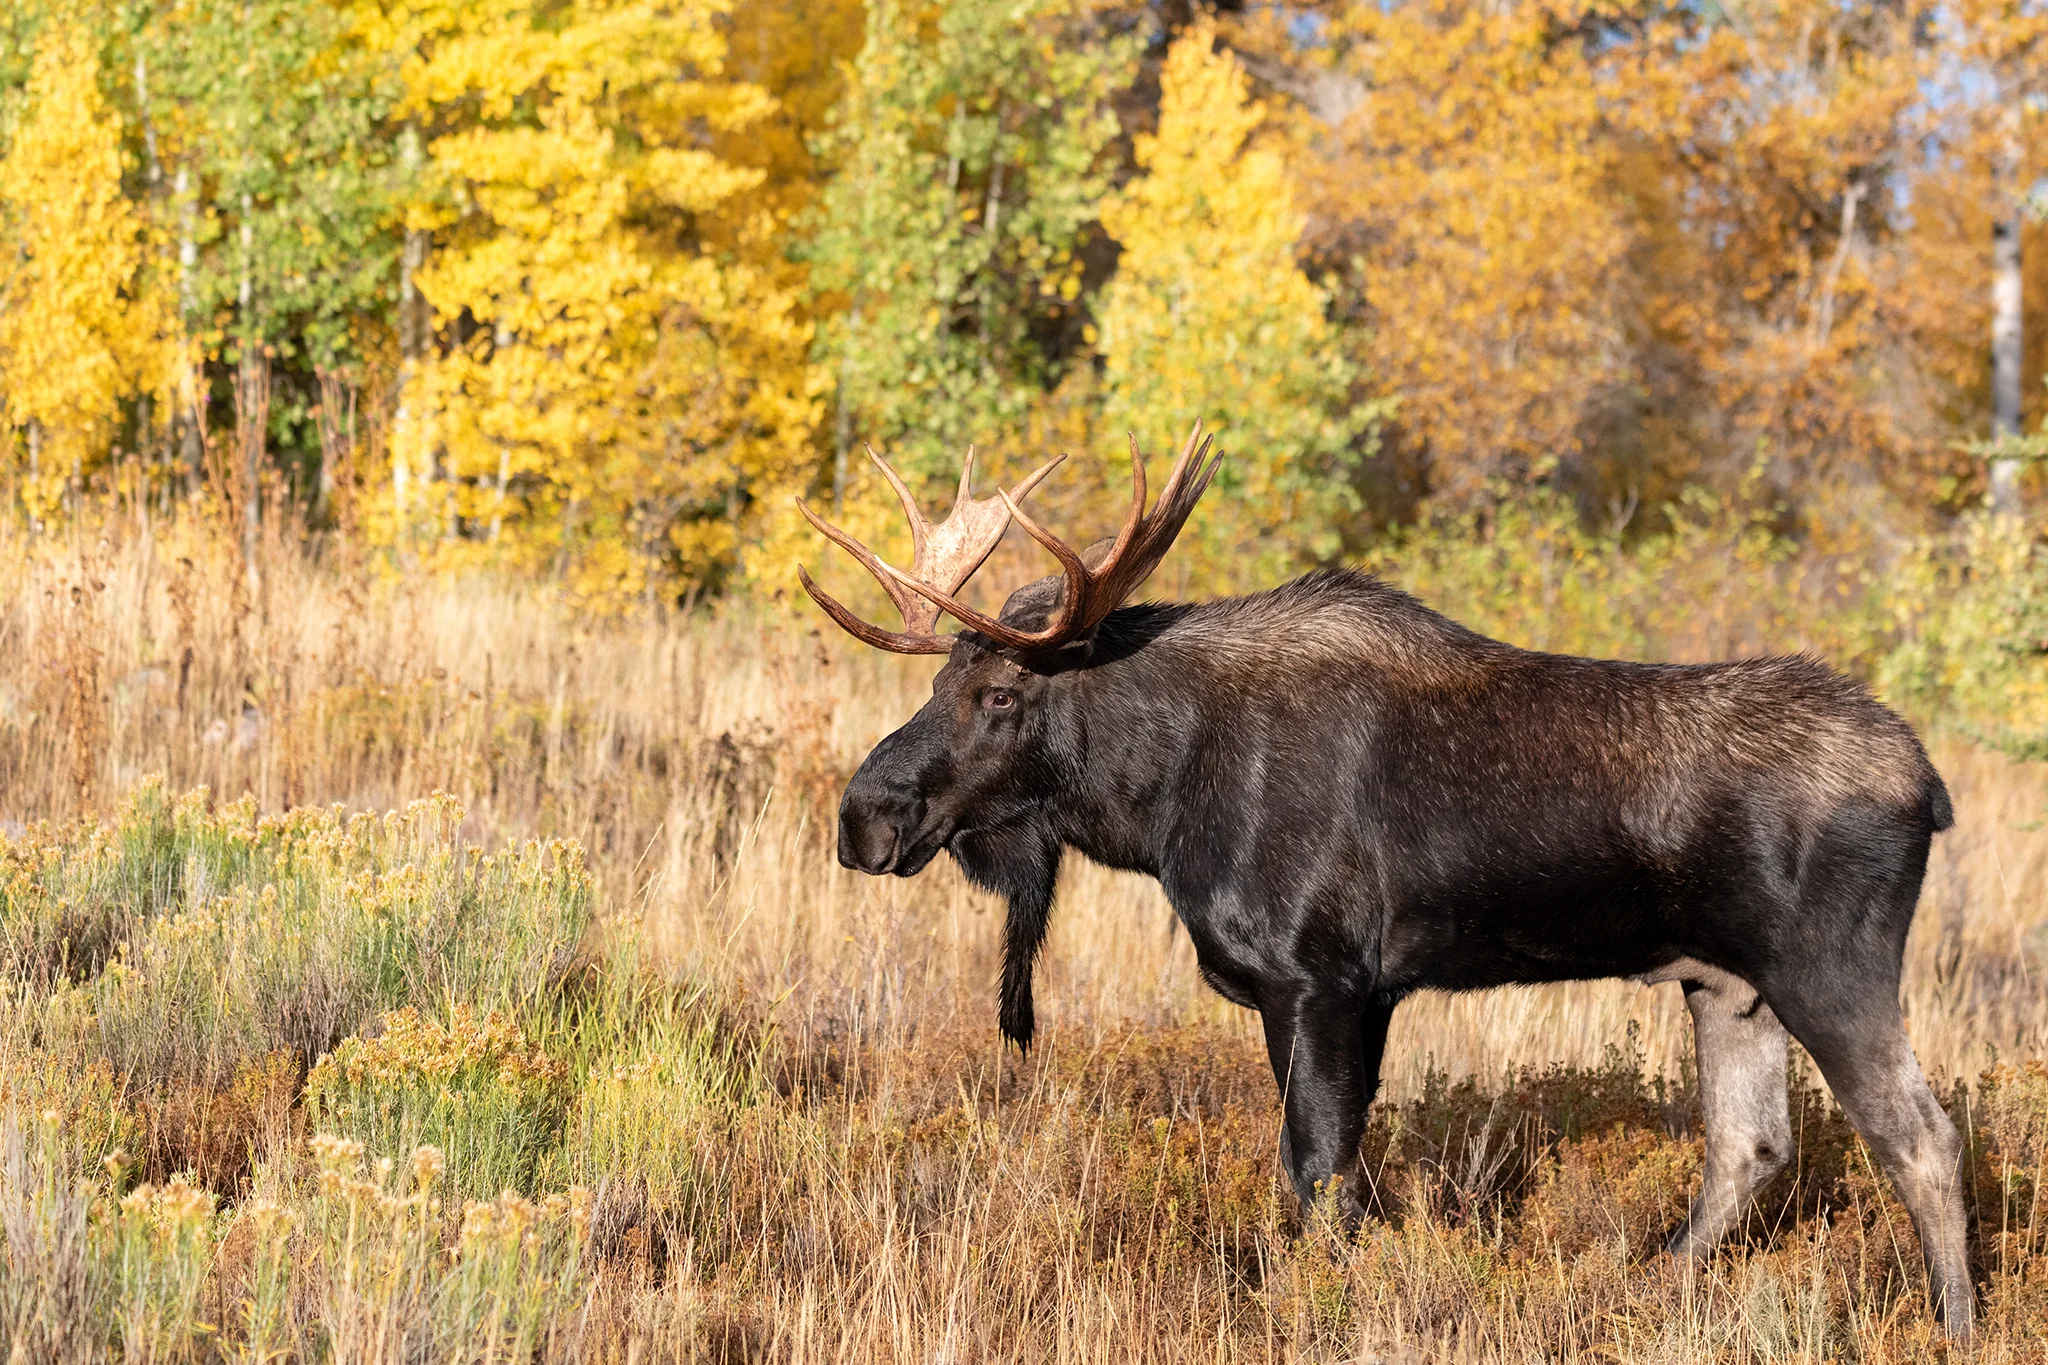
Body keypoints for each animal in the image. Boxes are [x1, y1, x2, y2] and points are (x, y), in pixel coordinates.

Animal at [794, 424, 1974, 1337]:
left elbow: (1320, 1176)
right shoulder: (1361, 994)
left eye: (999, 692)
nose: (865, 816)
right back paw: (1642, 1292)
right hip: (1725, 984)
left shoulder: (1316, 979)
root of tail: (1928, 785)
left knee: (1919, 1136)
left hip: (1828, 967)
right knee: (1750, 1145)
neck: (1159, 798)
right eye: (938, 681)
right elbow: (1333, 1175)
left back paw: (1954, 1325)